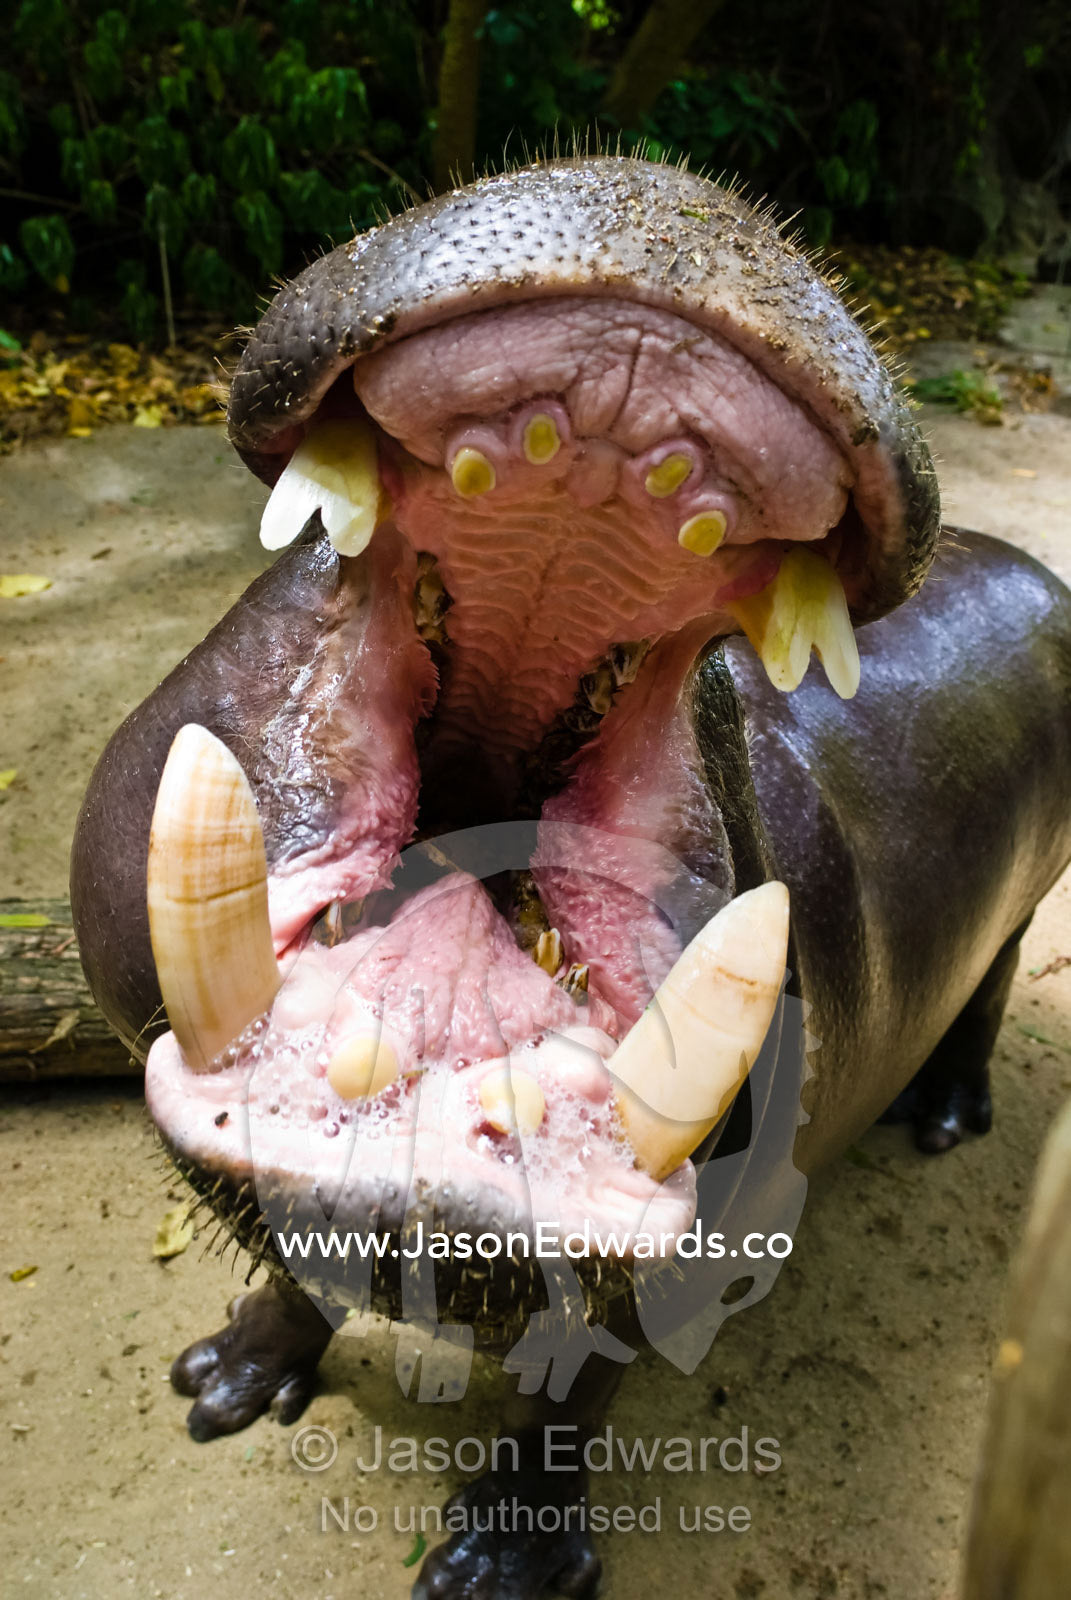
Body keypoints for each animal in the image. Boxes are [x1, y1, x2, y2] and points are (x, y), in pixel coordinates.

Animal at [69, 157, 1071, 1598]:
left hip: (1022, 912)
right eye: (298, 553)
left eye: (724, 692)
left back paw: (941, 1118)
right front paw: (221, 1382)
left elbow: (577, 1387)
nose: (667, 184)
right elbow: (298, 1267)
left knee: (988, 996)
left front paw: (495, 1565)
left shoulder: (703, 1246)